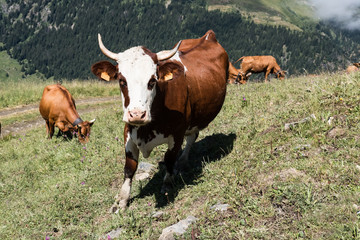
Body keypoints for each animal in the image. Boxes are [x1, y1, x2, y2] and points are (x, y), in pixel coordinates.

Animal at [91, 30, 229, 212]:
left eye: (152, 80)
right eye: (121, 81)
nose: (137, 114)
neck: (146, 129)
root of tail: (208, 36)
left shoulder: (177, 133)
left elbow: (169, 159)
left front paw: (167, 185)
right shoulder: (128, 131)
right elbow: (129, 168)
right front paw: (121, 200)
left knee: (192, 138)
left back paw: (182, 162)